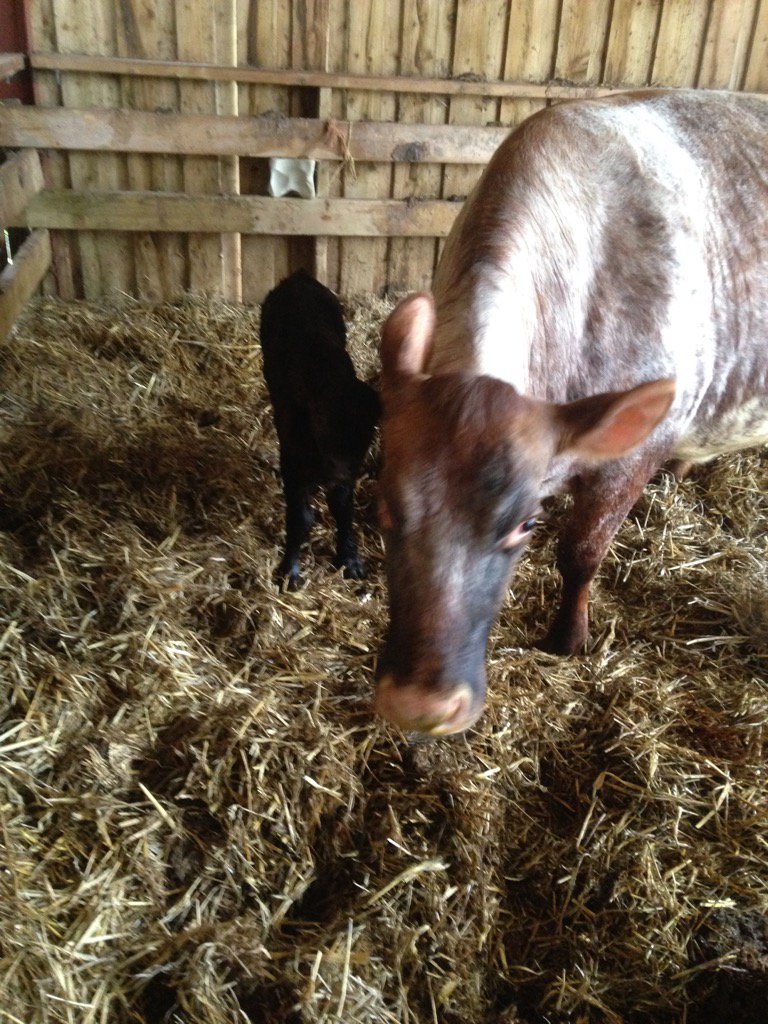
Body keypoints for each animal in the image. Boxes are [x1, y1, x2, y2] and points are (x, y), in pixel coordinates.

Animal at [260, 270, 380, 589]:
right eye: (321, 425)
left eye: (367, 432)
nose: (337, 472)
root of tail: (299, 278)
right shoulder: (291, 458)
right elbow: (300, 516)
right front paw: (289, 572)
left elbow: (343, 507)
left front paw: (351, 562)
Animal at [375, 90, 768, 736]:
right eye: (384, 512)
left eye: (525, 524)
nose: (420, 707)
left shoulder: (630, 457)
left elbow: (581, 553)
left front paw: (567, 637)